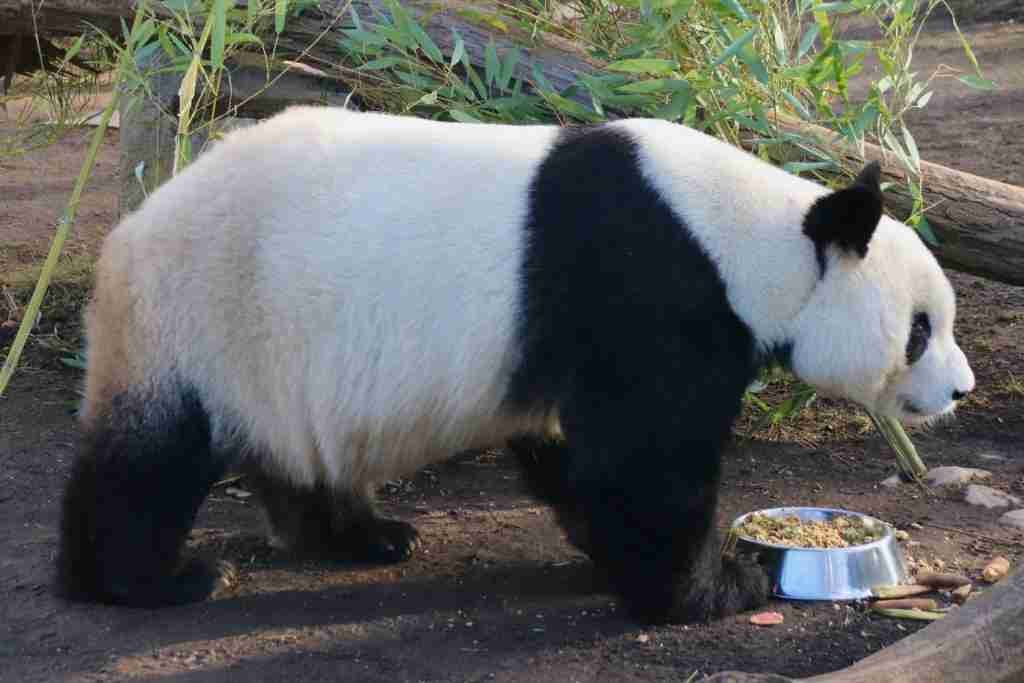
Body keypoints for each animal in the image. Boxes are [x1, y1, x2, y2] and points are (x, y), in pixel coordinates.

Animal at [58, 107, 974, 626]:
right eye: (920, 330)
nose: (960, 389)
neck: (755, 236)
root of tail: (128, 234)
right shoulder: (650, 283)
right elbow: (644, 459)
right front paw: (719, 587)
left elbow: (574, 449)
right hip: (202, 314)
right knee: (149, 459)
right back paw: (145, 578)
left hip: (276, 357)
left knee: (301, 456)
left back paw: (368, 536)